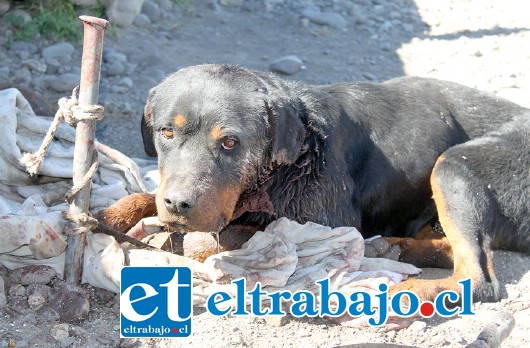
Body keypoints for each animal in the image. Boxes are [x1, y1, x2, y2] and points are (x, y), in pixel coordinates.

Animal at [101, 64, 524, 304]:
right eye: (166, 132)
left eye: (230, 143)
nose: (178, 205)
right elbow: (145, 196)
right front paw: (108, 216)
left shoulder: (328, 222)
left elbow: (224, 237)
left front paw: (177, 241)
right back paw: (394, 249)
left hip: (453, 166)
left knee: (480, 280)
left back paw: (402, 292)